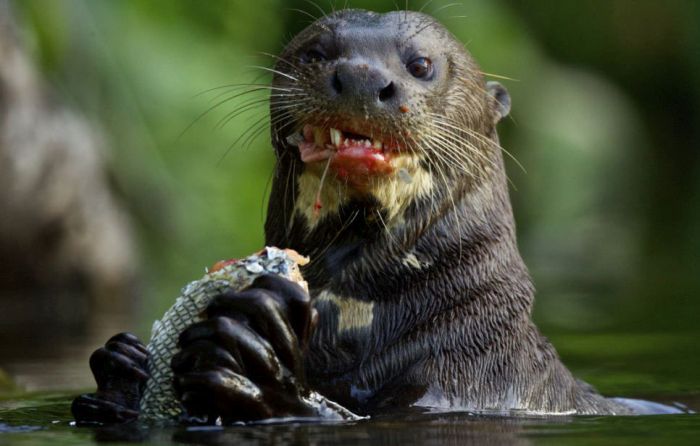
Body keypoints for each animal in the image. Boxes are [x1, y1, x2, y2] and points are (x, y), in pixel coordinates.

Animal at [69, 8, 636, 424]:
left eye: (420, 64)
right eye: (317, 52)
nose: (361, 75)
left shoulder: (461, 386)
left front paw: (257, 366)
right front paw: (122, 365)